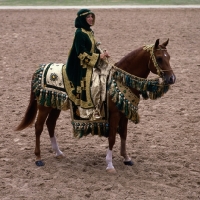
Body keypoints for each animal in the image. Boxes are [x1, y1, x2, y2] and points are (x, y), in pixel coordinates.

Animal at [15, 39, 175, 173]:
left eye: (169, 57)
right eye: (159, 58)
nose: (172, 78)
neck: (120, 80)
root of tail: (40, 69)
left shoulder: (124, 113)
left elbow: (123, 134)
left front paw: (126, 158)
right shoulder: (115, 115)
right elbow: (112, 137)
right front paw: (109, 164)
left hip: (55, 105)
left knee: (50, 124)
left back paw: (58, 153)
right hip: (44, 107)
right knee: (38, 127)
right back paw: (38, 158)